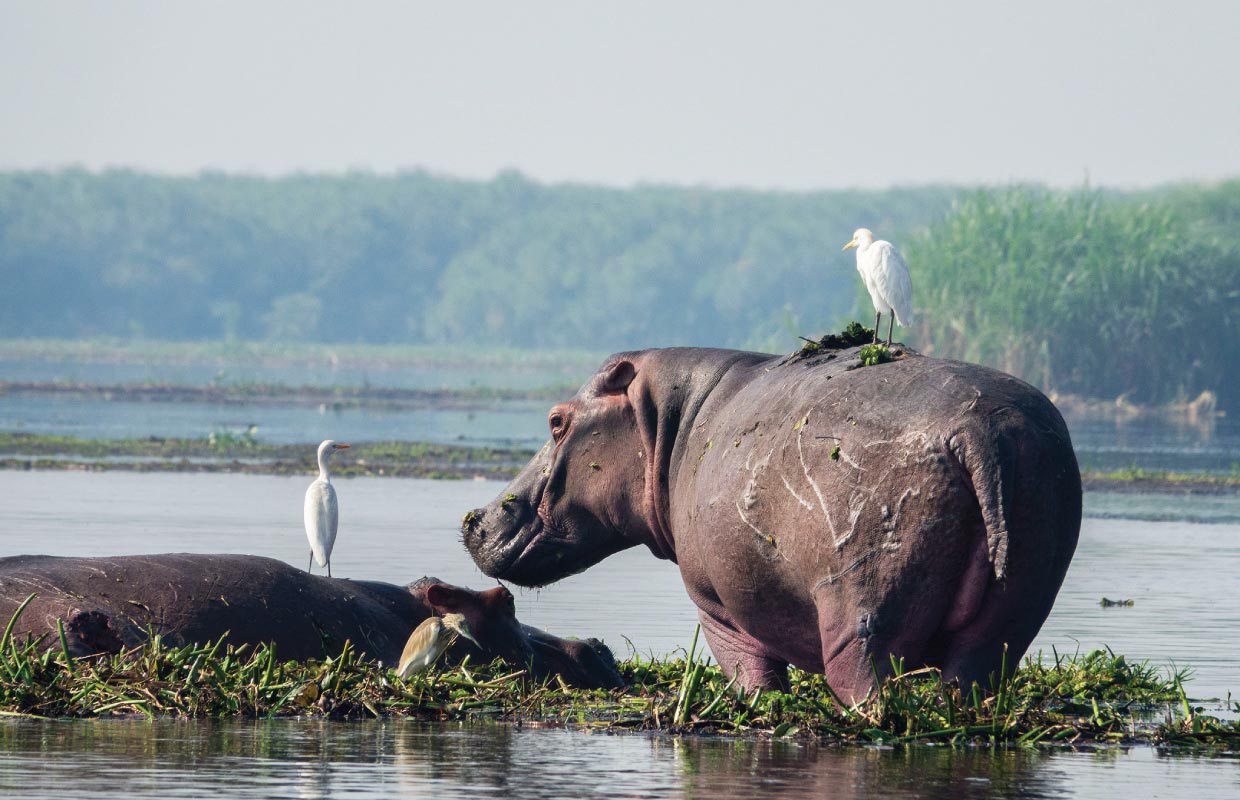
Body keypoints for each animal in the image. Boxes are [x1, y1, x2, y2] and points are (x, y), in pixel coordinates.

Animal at [461, 342, 1081, 699]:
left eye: (556, 420)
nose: (474, 520)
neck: (668, 421)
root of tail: (980, 431)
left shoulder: (717, 606)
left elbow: (752, 679)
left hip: (864, 612)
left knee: (866, 681)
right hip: (1012, 614)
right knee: (974, 675)